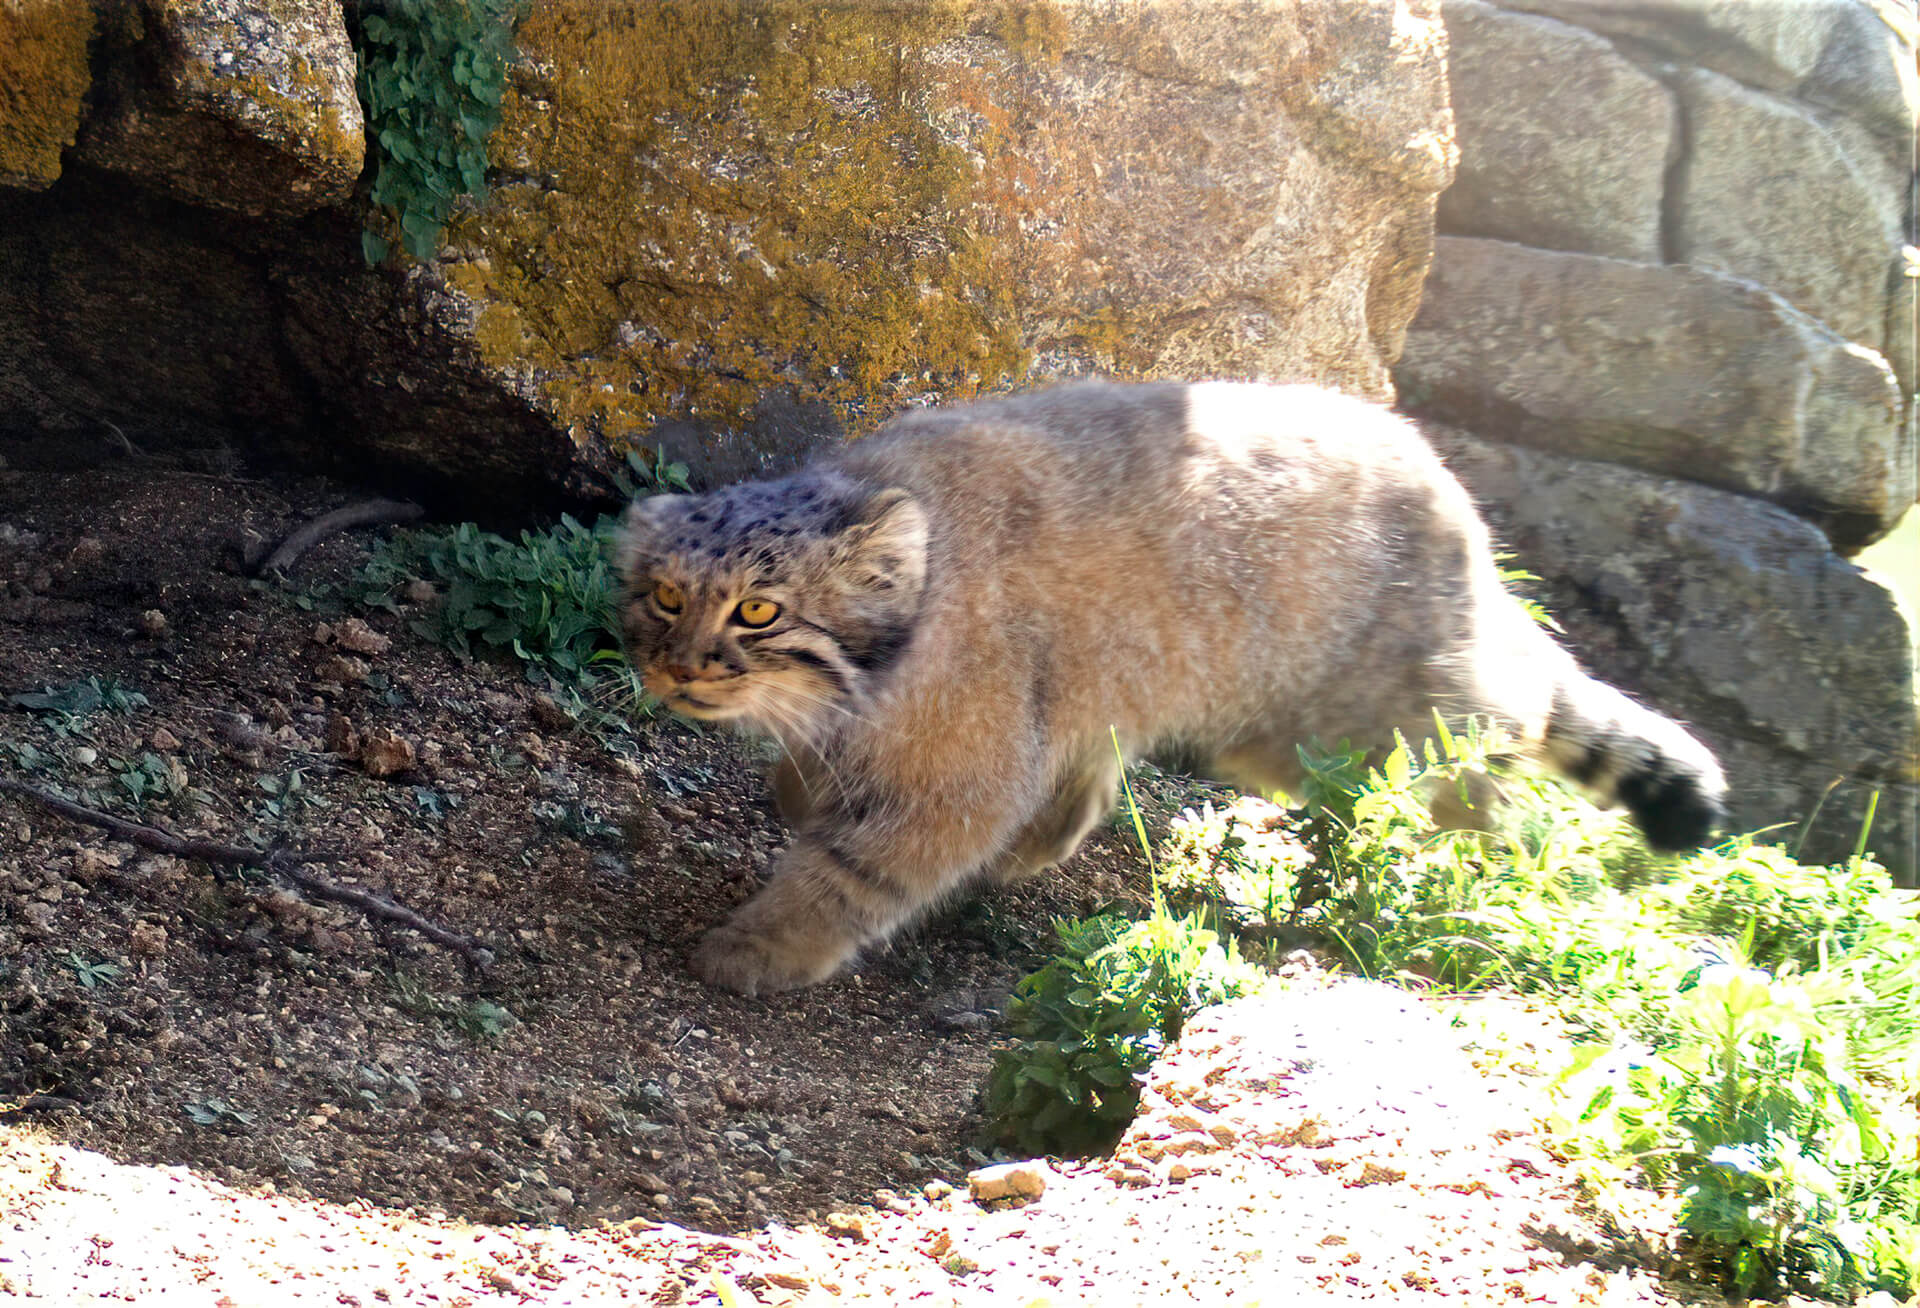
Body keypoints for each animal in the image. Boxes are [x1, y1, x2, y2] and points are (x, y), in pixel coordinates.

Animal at [618, 382, 1728, 991]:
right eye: (667, 597)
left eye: (760, 612)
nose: (676, 671)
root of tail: (1461, 509)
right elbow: (811, 787)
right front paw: (800, 796)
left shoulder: (958, 777)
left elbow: (850, 872)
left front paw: (760, 946)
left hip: (1374, 737)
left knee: (1499, 779)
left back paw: (1498, 894)